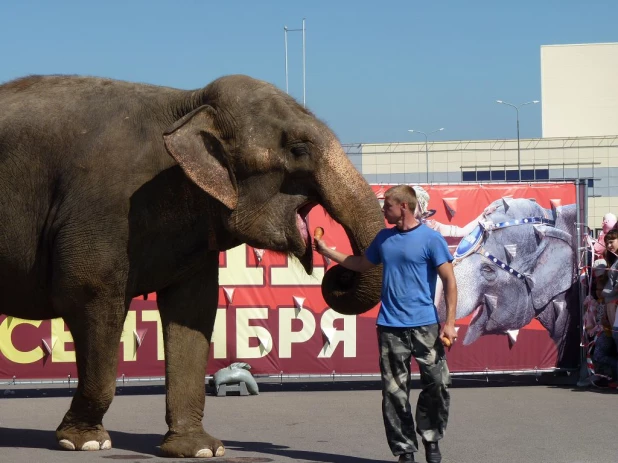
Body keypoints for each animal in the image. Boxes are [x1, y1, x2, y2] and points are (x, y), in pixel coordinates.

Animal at [0, 74, 382, 458]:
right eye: (299, 150)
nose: (335, 264)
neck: (187, 104)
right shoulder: (102, 210)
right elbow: (88, 293)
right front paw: (84, 441)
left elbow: (193, 308)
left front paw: (200, 450)